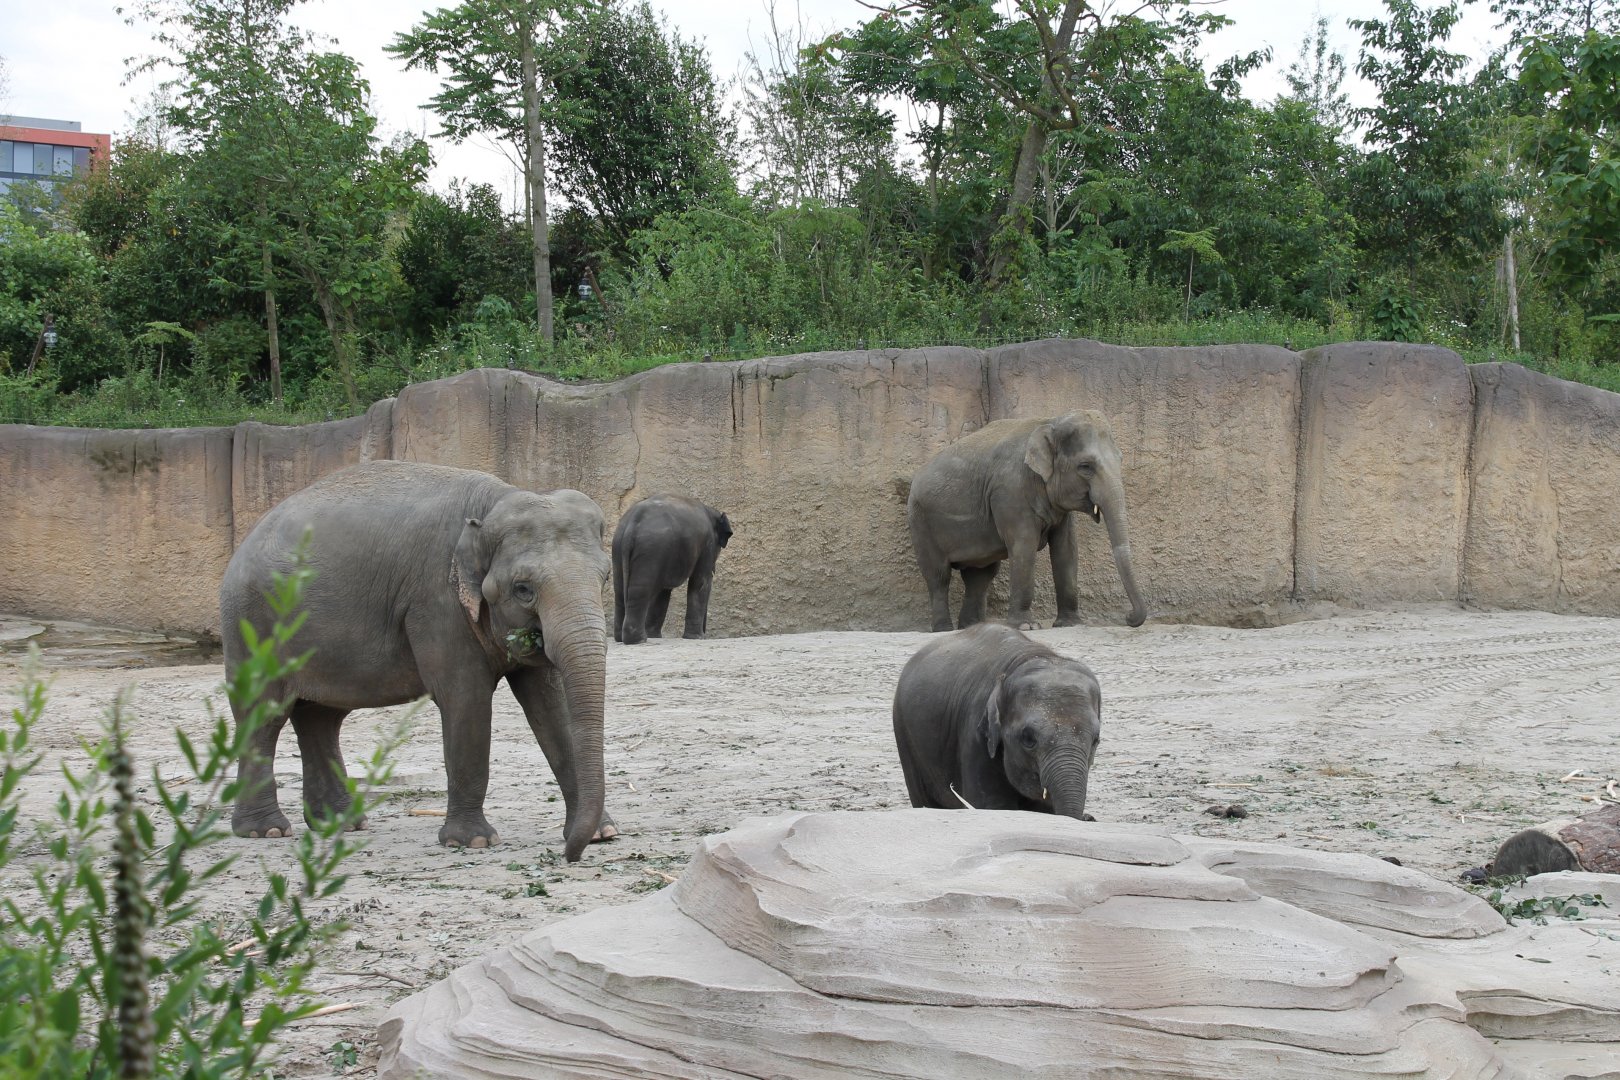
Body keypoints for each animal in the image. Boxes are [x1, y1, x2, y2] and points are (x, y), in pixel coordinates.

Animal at [219, 460, 615, 861]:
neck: (493, 502)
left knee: (320, 717)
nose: (569, 855)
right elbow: (465, 699)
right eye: (523, 589)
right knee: (264, 715)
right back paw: (265, 830)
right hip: (252, 626)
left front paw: (602, 834)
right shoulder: (436, 602)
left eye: (605, 578)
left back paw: (341, 824)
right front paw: (471, 842)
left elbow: (552, 706)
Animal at [612, 495, 732, 645]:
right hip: (651, 549)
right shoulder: (707, 544)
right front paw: (697, 638)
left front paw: (654, 635)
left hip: (618, 546)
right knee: (640, 590)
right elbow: (700, 582)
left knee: (620, 590)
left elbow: (663, 593)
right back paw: (638, 640)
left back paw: (621, 638)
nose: (705, 633)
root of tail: (632, 522)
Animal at [892, 623, 1102, 820]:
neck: (1030, 656)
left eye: (1096, 741)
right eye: (1028, 739)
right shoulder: (975, 733)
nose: (1089, 817)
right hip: (905, 735)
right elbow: (992, 805)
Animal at [907, 410, 1147, 632]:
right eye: (1086, 466)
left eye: (1120, 459)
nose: (1129, 618)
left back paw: (972, 627)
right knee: (939, 576)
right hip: (920, 521)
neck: (1050, 421)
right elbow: (1024, 546)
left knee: (980, 576)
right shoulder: (1010, 492)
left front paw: (1071, 624)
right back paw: (944, 629)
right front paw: (1026, 627)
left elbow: (1066, 550)